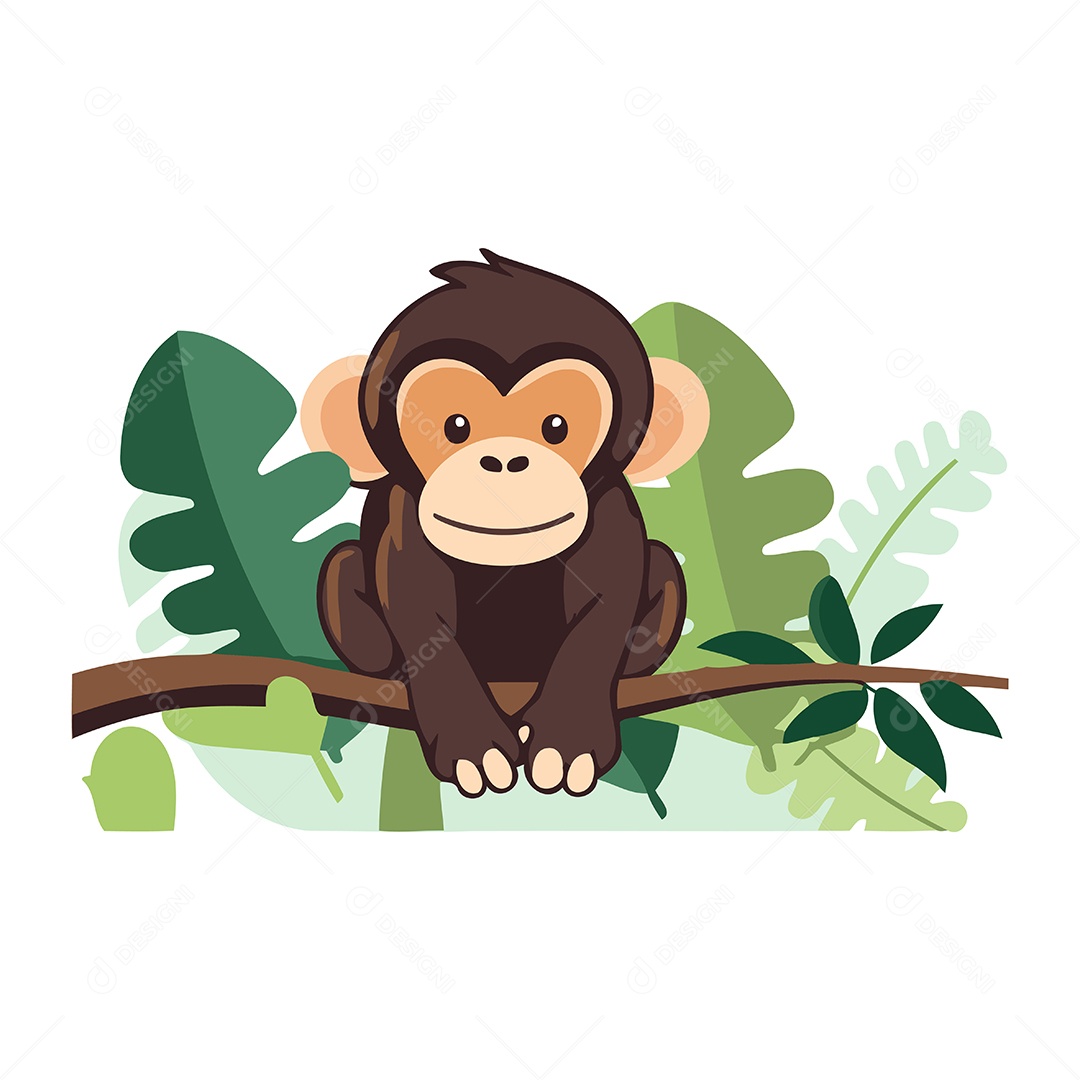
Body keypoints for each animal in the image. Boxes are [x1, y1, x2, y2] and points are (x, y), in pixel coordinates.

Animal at [301, 250, 709, 798]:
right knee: (343, 567)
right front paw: (472, 743)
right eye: (454, 426)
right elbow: (418, 611)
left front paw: (567, 738)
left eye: (556, 426)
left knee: (662, 564)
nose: (504, 461)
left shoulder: (612, 513)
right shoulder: (403, 518)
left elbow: (606, 606)